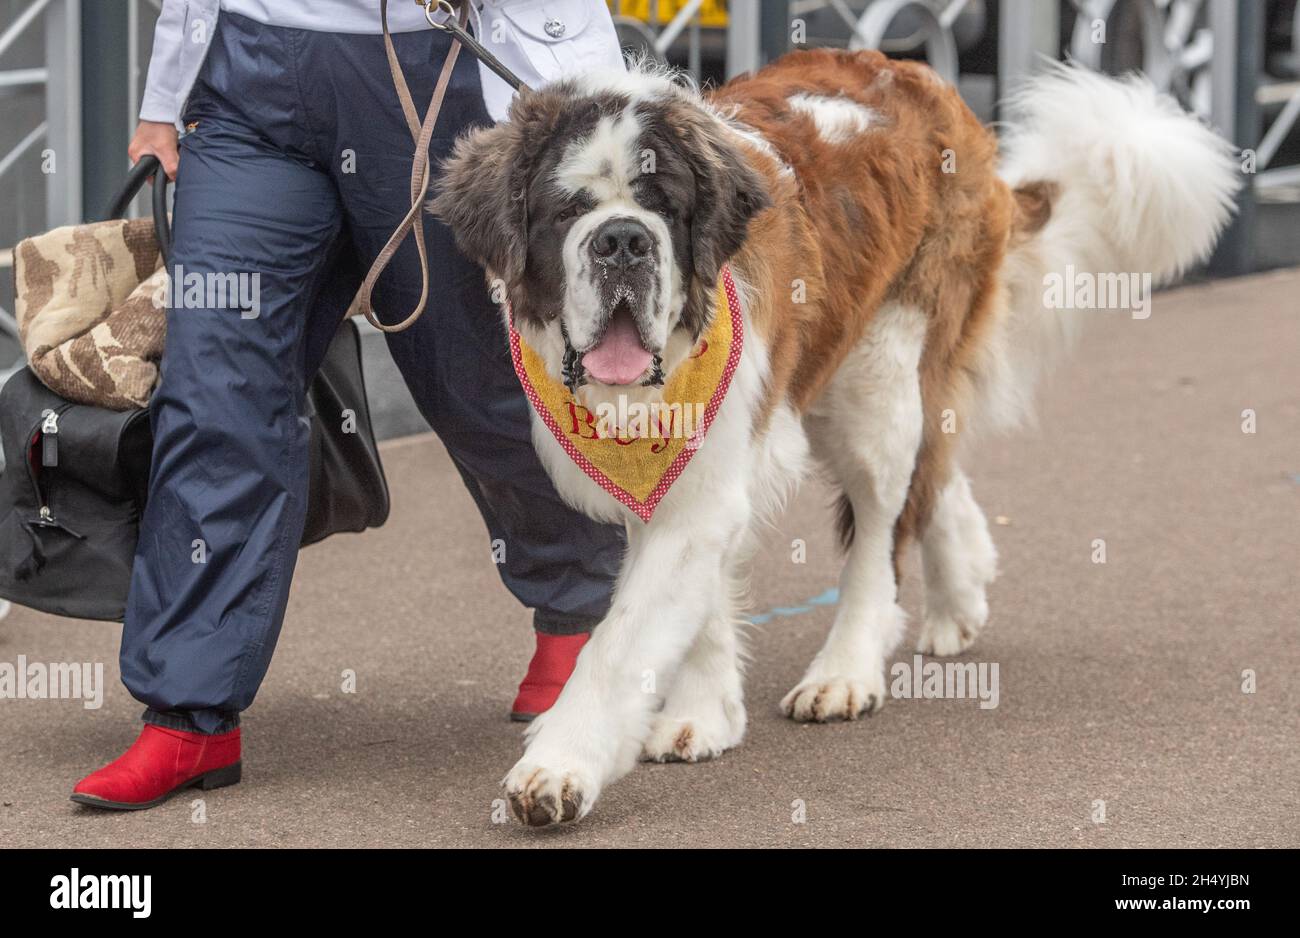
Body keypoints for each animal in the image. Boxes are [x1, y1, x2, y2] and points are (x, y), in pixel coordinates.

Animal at [431, 47, 1232, 821]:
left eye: (665, 206)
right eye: (568, 209)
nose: (624, 240)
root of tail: (929, 84)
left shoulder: (706, 471)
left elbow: (623, 639)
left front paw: (557, 768)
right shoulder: (689, 473)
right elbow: (693, 600)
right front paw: (705, 714)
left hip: (881, 373)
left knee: (884, 525)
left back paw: (846, 670)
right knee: (935, 470)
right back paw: (959, 592)